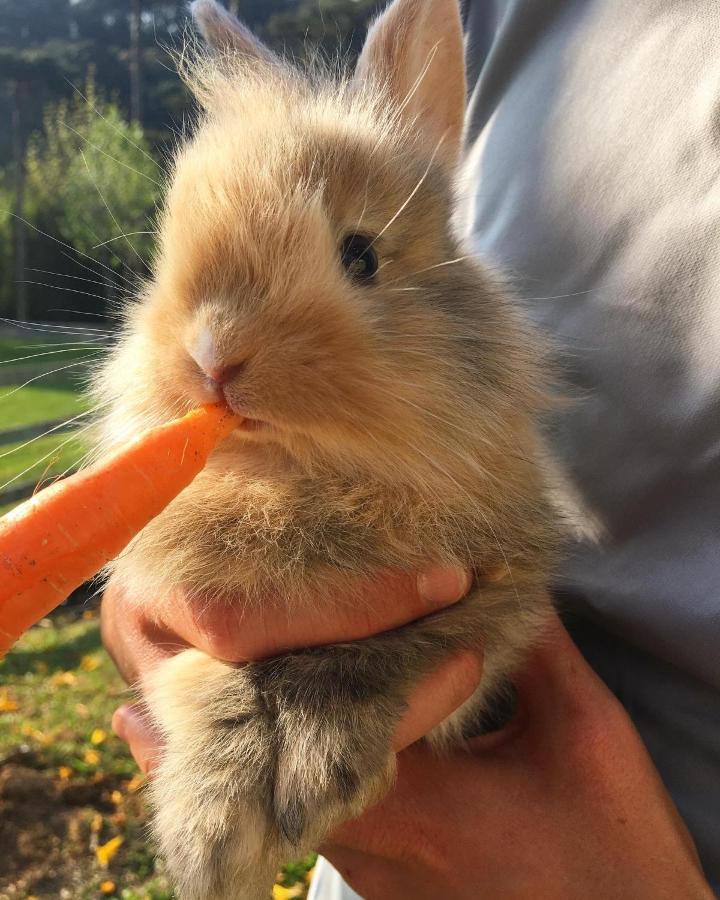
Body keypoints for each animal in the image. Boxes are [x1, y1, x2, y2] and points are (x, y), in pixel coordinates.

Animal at [93, 1, 560, 900]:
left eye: (361, 256)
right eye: (167, 255)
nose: (213, 355)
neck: (288, 480)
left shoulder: (492, 604)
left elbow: (381, 653)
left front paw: (309, 765)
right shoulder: (186, 617)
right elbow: (208, 678)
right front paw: (210, 833)